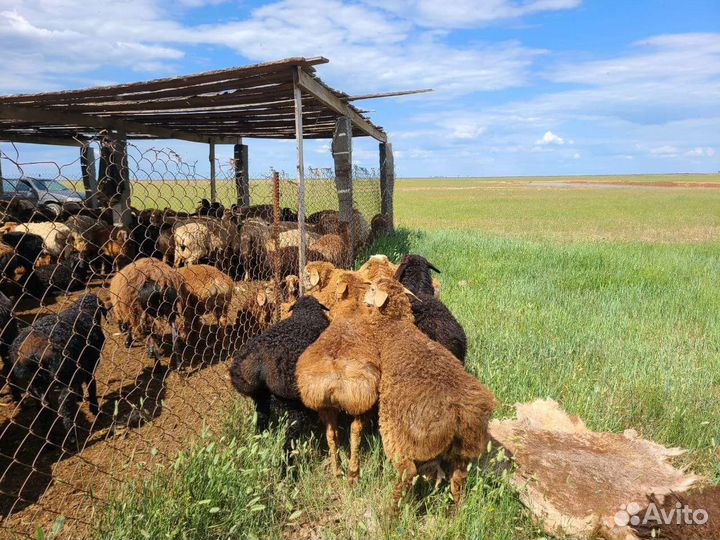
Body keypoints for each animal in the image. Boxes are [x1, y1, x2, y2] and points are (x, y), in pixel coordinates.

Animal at [7, 294, 107, 443]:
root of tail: (33, 355)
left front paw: (80, 397)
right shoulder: (90, 364)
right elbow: (92, 386)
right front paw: (94, 409)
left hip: (36, 383)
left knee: (44, 409)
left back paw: (49, 440)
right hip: (63, 375)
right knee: (64, 404)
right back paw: (72, 436)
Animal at [230, 295, 330, 439]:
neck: (306, 313)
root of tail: (259, 362)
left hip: (261, 398)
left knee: (261, 420)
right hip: (292, 403)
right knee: (291, 430)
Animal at [363, 278, 496, 507]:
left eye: (372, 289)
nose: (363, 297)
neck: (396, 328)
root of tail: (458, 411)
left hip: (400, 437)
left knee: (407, 473)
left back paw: (391, 509)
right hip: (462, 450)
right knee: (459, 478)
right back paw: (457, 509)